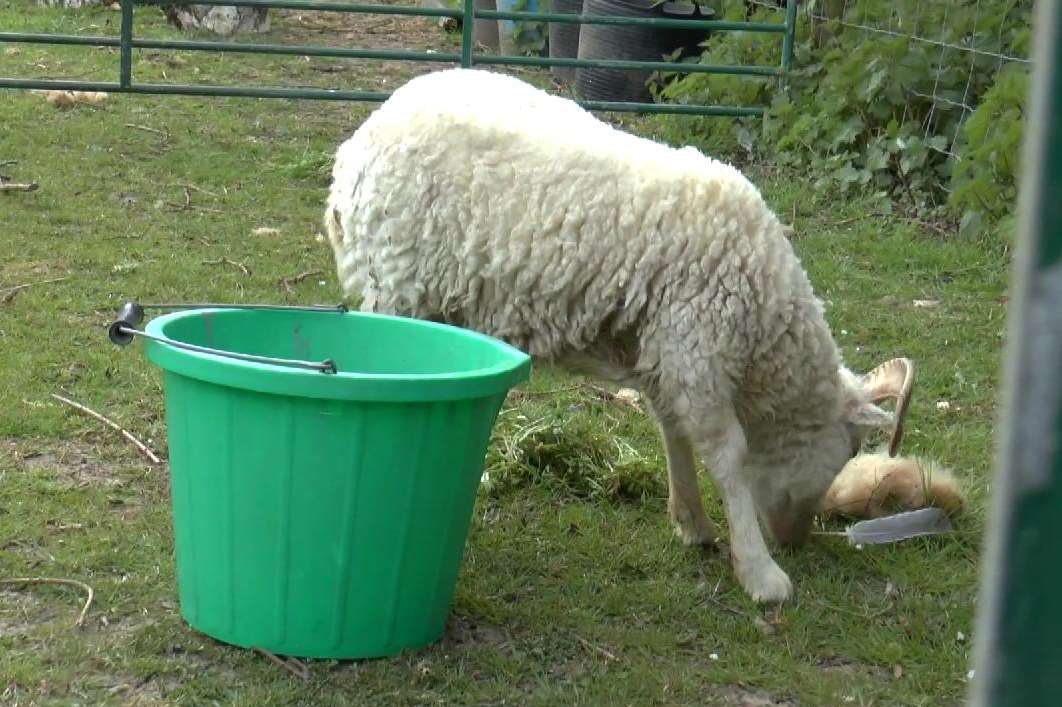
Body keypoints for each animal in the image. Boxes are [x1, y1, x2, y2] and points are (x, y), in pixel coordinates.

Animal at [322, 69, 913, 602]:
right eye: (848, 452)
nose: (796, 540)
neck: (764, 323)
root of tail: (356, 148)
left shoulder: (665, 350)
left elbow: (673, 431)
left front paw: (692, 522)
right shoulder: (698, 345)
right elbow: (727, 455)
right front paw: (761, 573)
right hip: (394, 283)